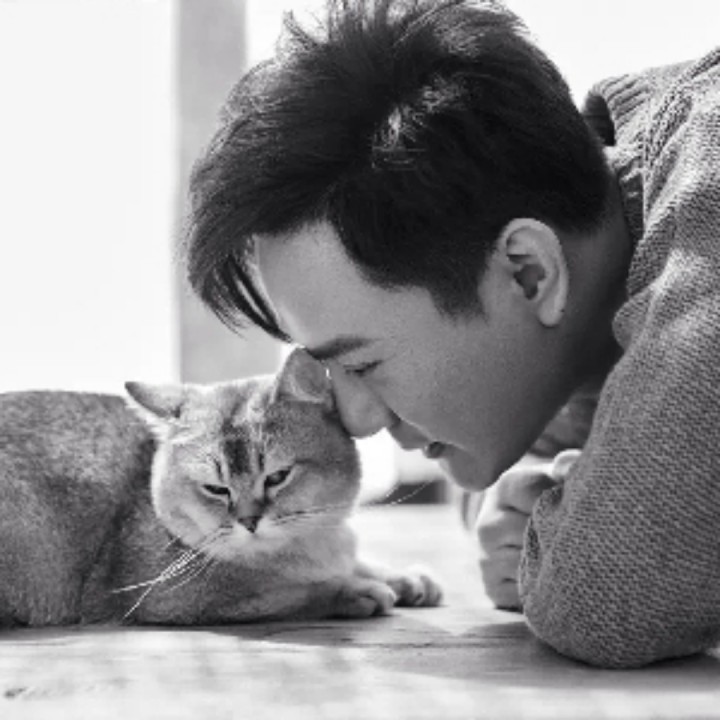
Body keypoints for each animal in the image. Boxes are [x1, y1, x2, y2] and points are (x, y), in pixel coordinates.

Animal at [0, 349, 442, 627]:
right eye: (216, 489)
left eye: (277, 477)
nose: (249, 521)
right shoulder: (168, 595)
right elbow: (286, 590)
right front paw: (356, 589)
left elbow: (351, 560)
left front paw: (403, 578)